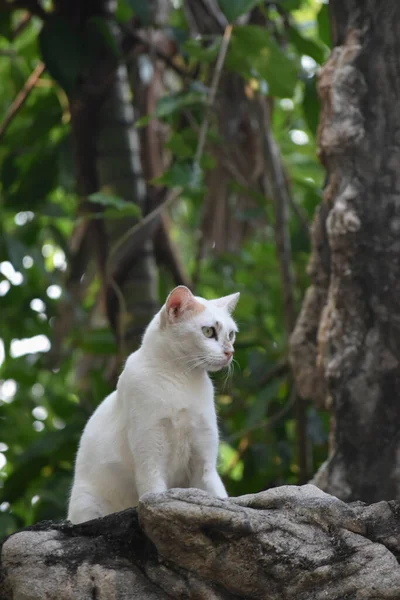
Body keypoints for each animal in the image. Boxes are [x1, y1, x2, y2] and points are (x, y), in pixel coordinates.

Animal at [67, 284, 239, 524]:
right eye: (208, 332)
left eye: (231, 334)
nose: (230, 352)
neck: (181, 380)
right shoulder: (150, 457)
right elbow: (154, 493)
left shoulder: (204, 464)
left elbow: (218, 495)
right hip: (87, 502)